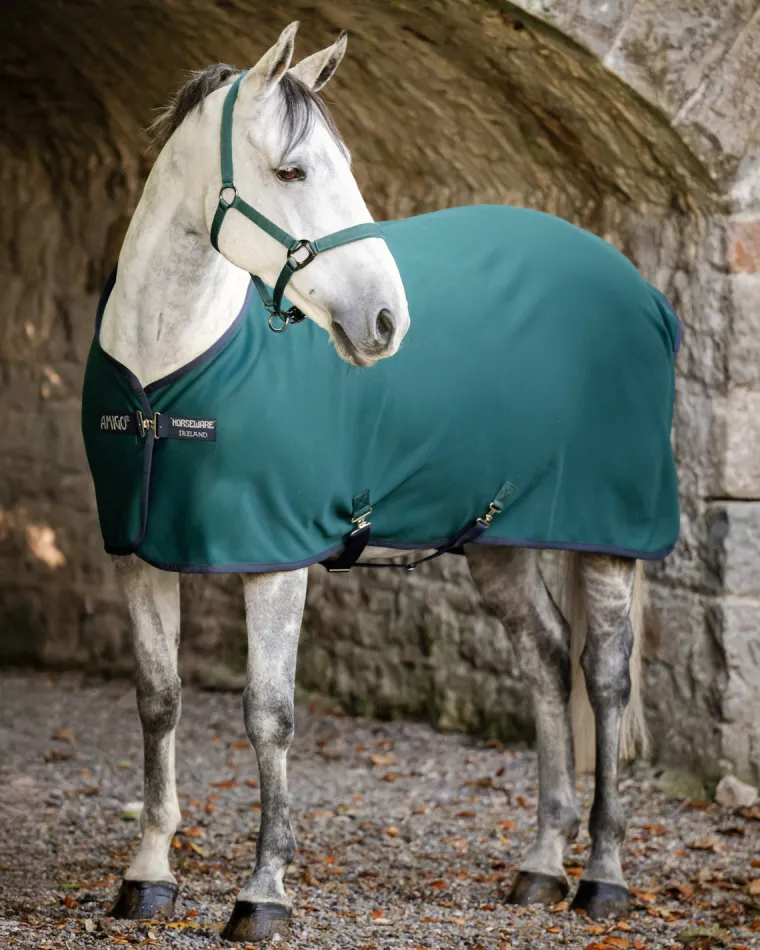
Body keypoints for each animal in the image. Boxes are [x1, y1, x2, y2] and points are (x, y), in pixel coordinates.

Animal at [83, 21, 680, 943]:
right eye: (293, 171)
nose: (387, 322)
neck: (167, 373)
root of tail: (640, 291)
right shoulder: (138, 555)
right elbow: (158, 702)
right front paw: (147, 875)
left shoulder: (275, 561)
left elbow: (269, 715)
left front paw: (264, 891)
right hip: (498, 539)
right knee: (547, 661)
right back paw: (542, 865)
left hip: (609, 539)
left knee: (605, 679)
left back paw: (604, 878)